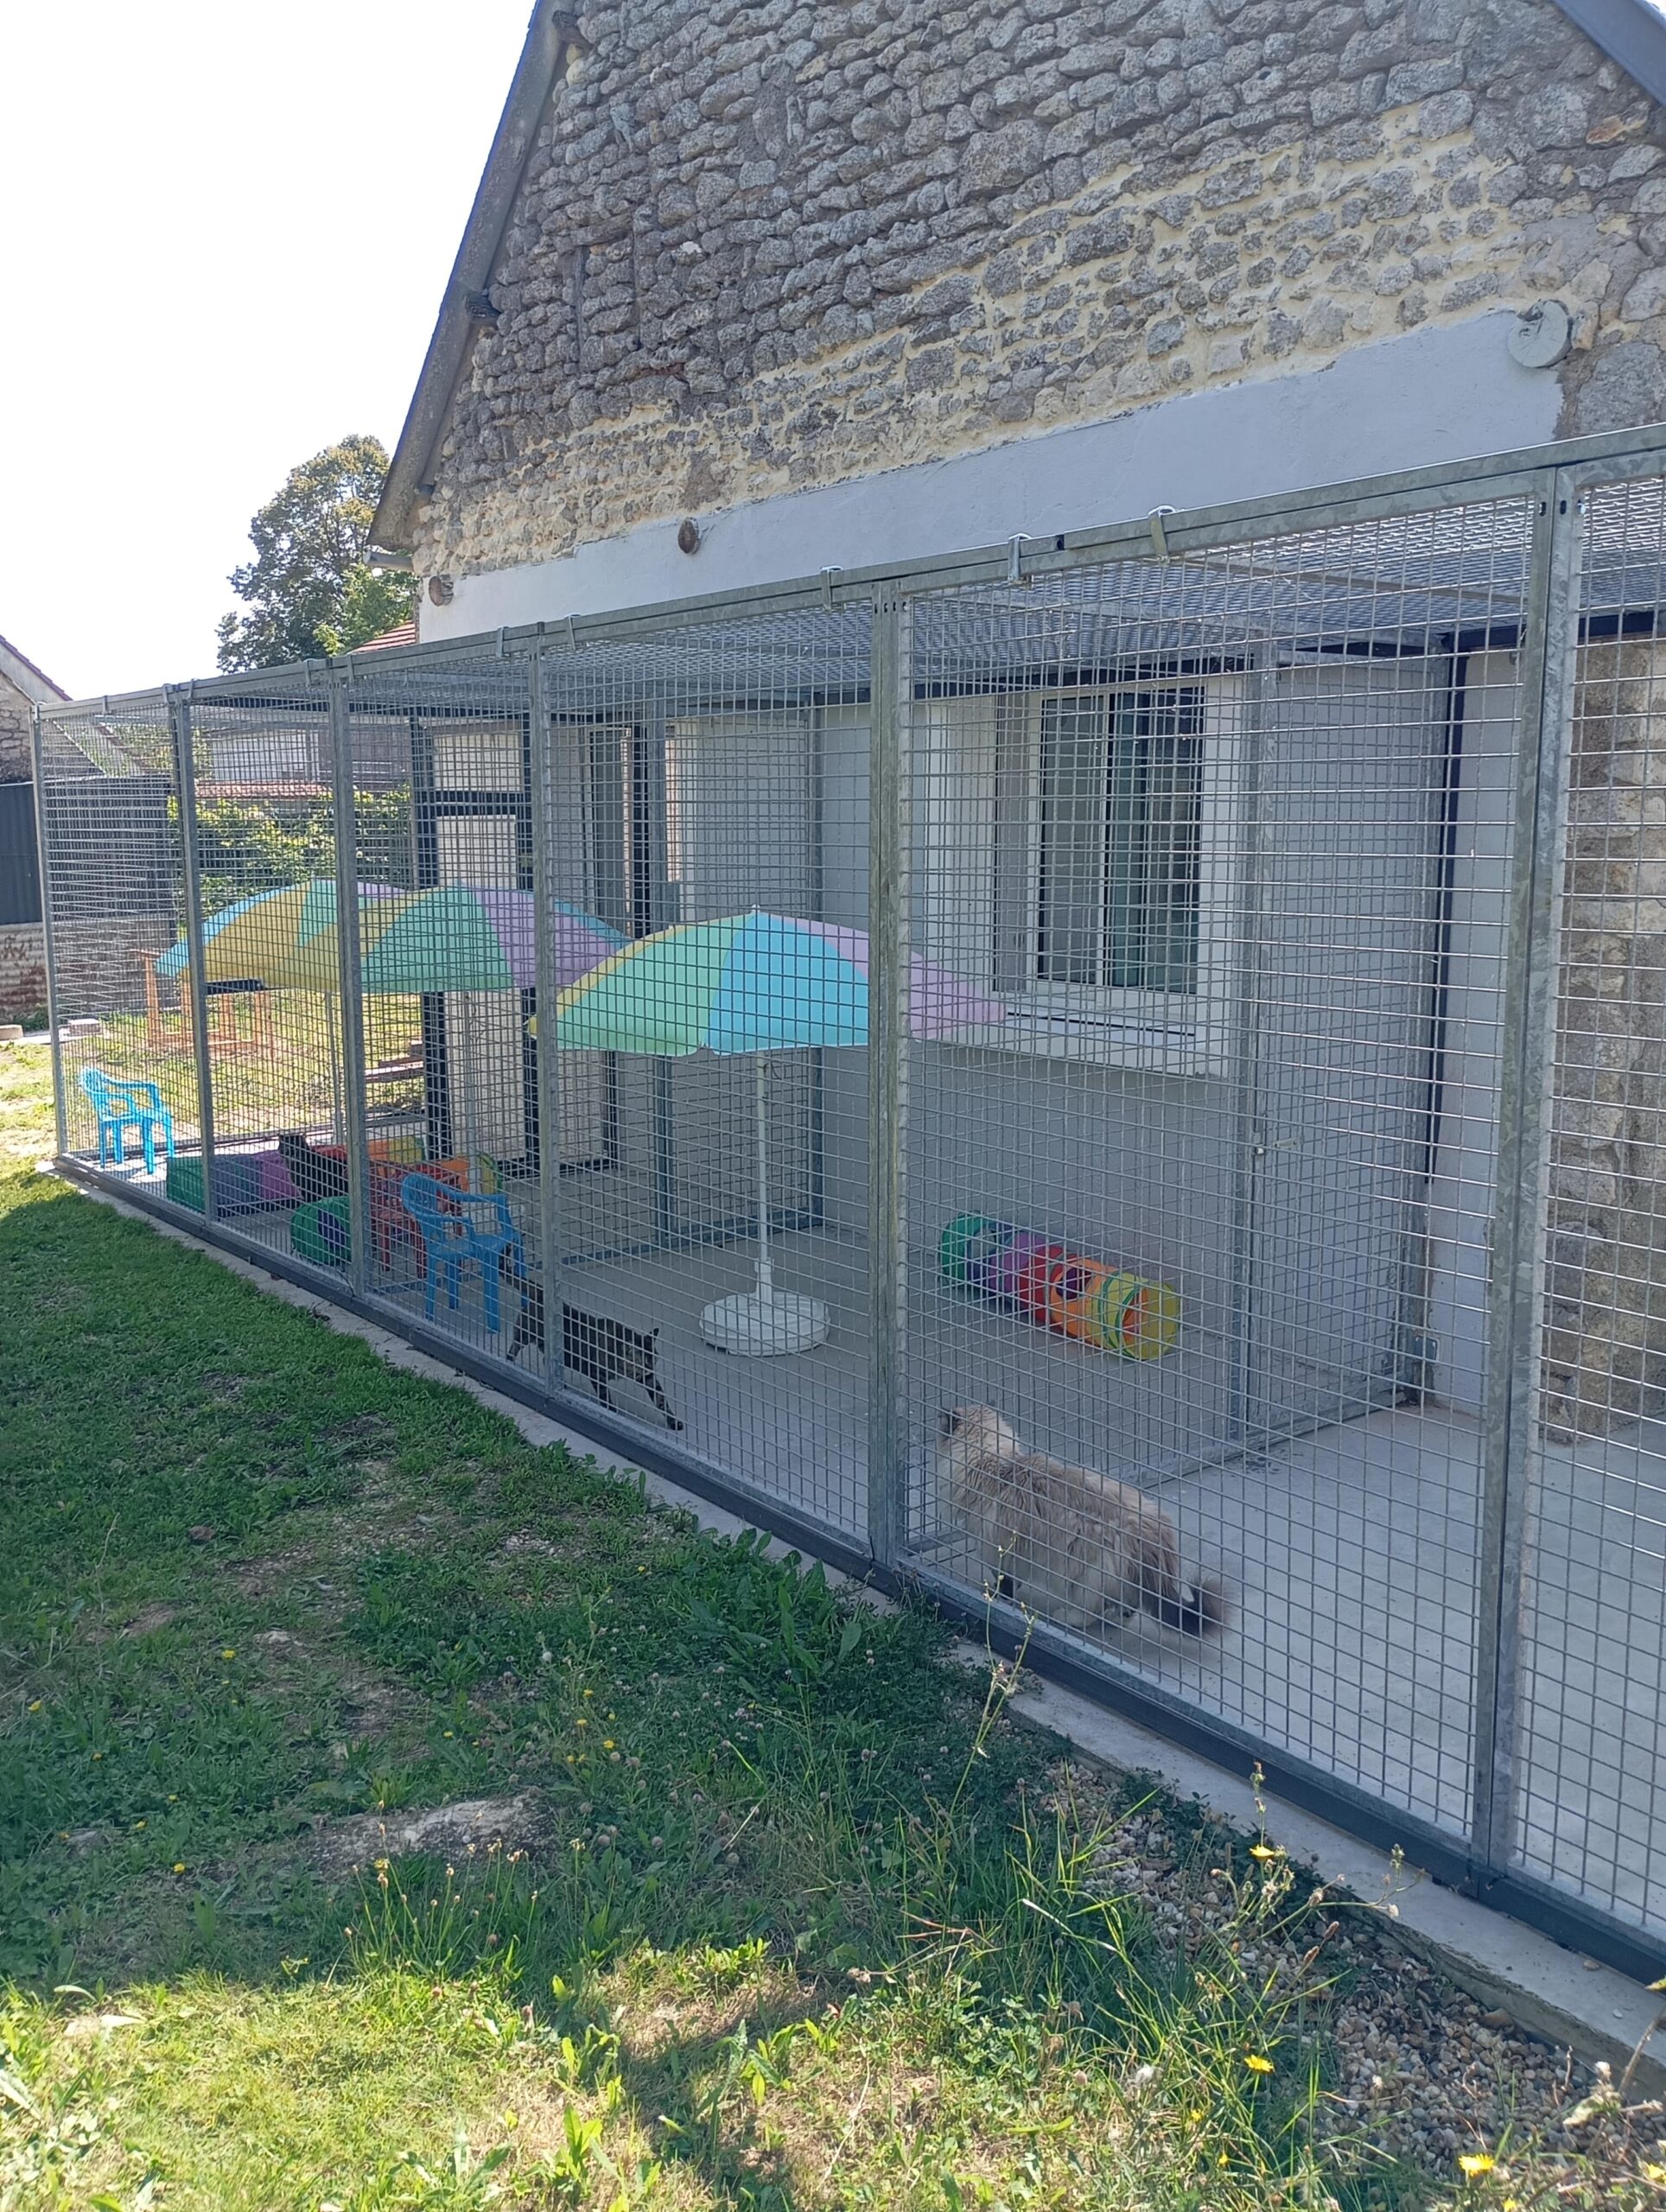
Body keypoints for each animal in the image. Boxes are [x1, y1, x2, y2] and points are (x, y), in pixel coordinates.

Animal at [938, 1407, 1221, 1637]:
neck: (995, 1466)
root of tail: (1153, 1531)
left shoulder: (1000, 1550)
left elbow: (1004, 1583)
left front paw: (995, 1598)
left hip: (1083, 1573)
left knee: (1091, 1610)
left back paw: (1067, 1617)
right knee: (1128, 1605)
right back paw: (1118, 1617)